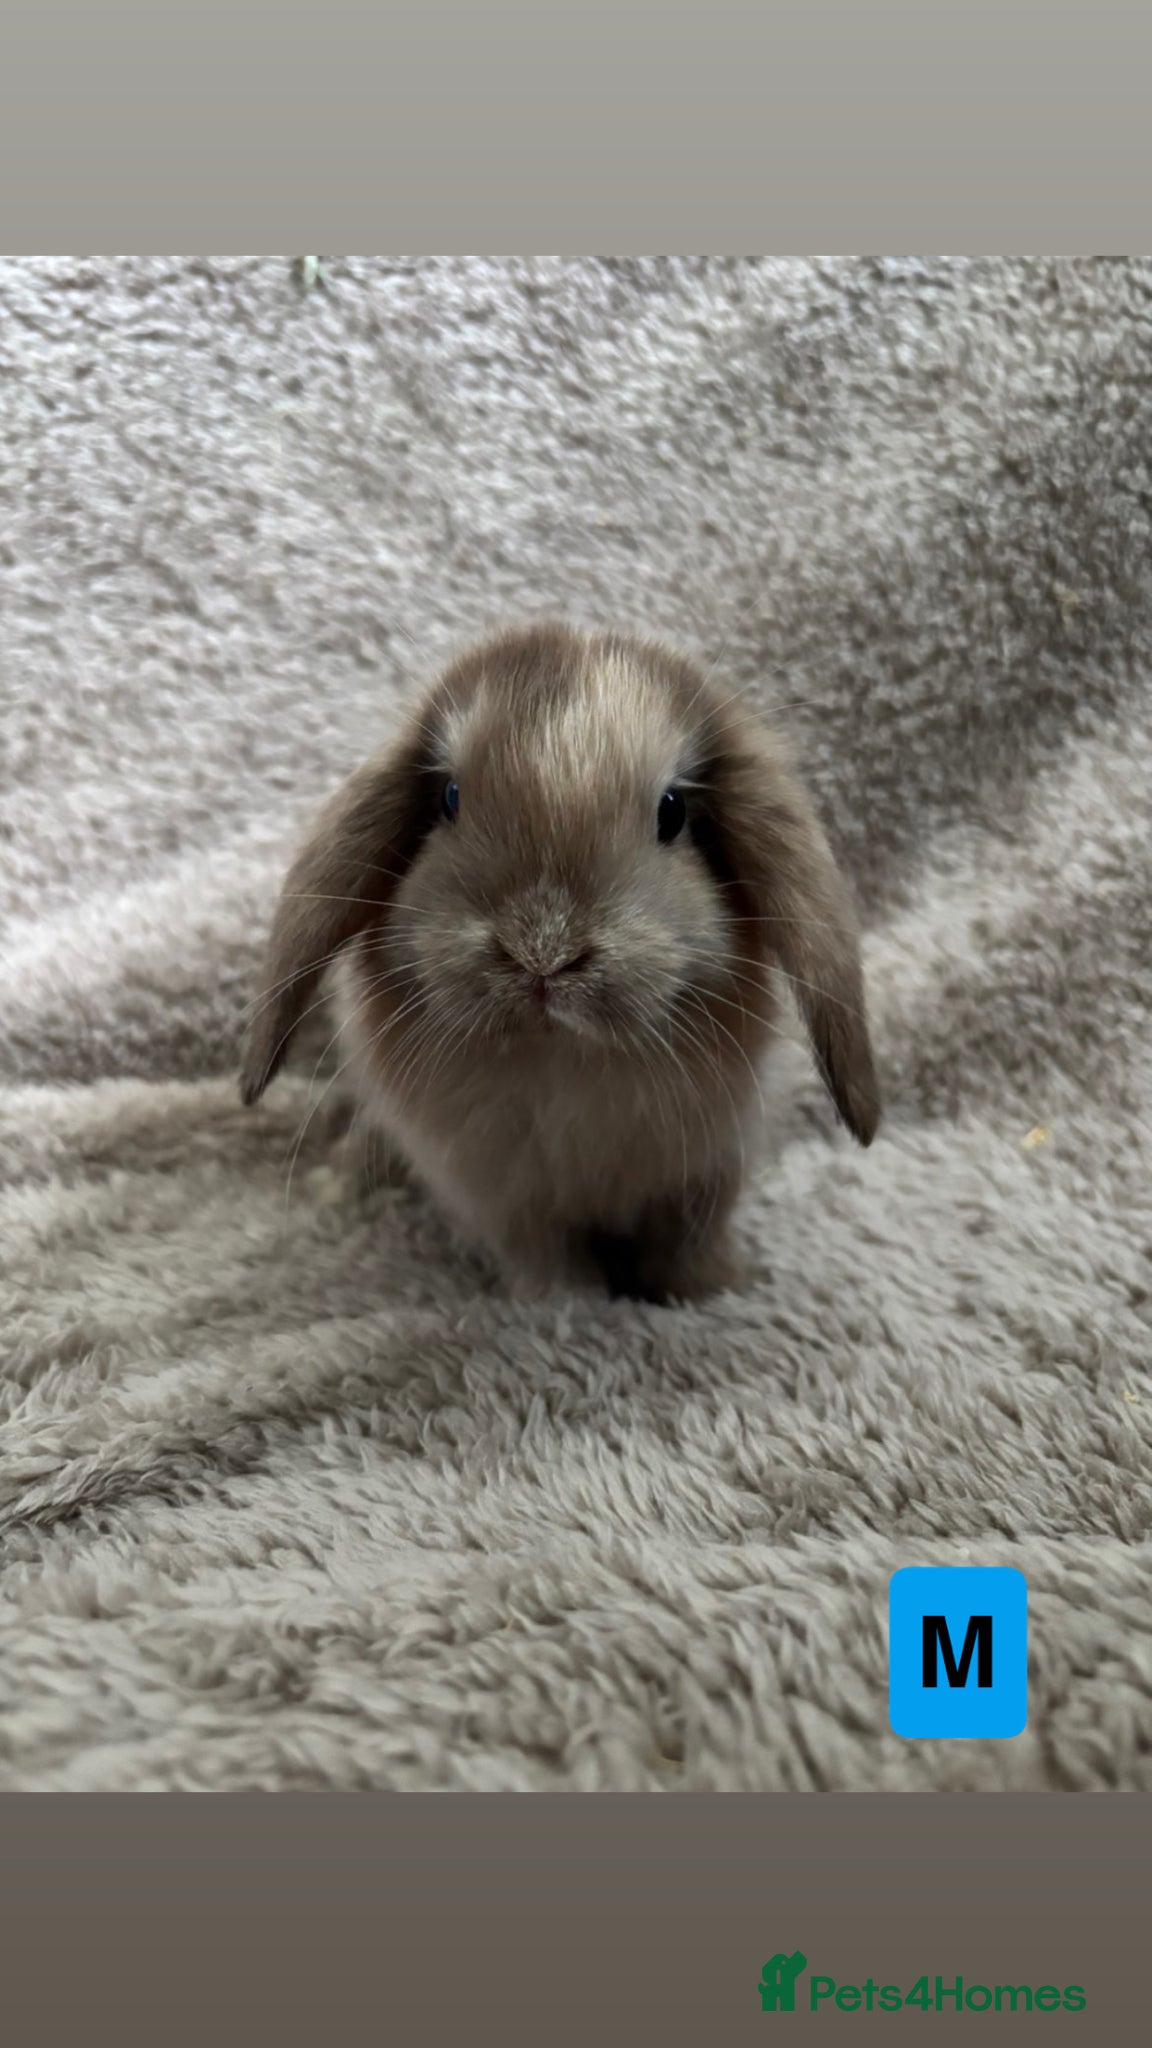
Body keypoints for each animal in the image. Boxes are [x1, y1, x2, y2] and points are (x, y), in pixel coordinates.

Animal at [241, 623, 879, 1302]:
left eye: (673, 811)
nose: (543, 951)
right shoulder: (503, 1201)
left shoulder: (708, 1176)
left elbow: (688, 1248)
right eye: (449, 798)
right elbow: (549, 1264)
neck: (564, 1059)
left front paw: (717, 1290)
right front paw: (569, 1306)